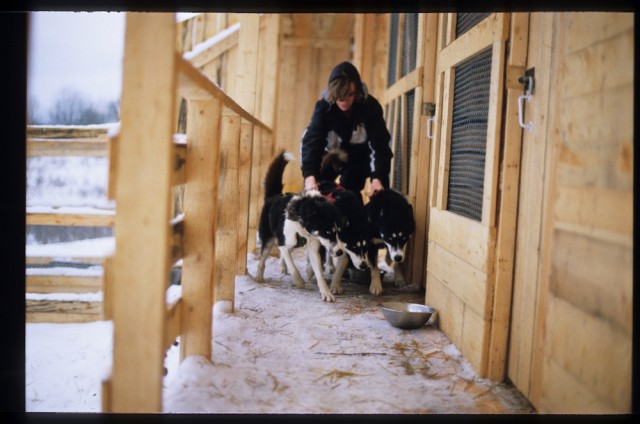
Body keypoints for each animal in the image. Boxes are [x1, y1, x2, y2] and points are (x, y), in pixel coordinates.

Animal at [254, 149, 344, 302]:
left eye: (337, 231)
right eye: (327, 232)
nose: (340, 252)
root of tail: (273, 196)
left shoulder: (313, 249)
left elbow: (319, 273)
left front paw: (326, 292)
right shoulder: (283, 243)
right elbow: (293, 266)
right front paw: (299, 281)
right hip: (268, 238)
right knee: (263, 258)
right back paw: (259, 276)